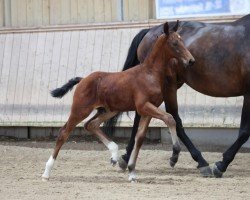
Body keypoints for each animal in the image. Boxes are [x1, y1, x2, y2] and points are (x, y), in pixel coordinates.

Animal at [41, 21, 195, 181]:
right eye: (174, 43)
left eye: (182, 40)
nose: (191, 60)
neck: (150, 73)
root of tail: (83, 80)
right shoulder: (143, 106)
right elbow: (170, 118)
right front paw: (174, 155)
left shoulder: (148, 110)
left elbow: (139, 138)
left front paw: (132, 171)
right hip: (80, 109)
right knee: (64, 132)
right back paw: (46, 172)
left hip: (109, 110)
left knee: (91, 124)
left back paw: (115, 155)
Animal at [111, 14, 250, 178]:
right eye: (175, 43)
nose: (191, 60)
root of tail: (149, 32)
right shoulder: (249, 93)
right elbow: (245, 132)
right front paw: (221, 165)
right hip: (168, 86)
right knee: (173, 117)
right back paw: (200, 162)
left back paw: (127, 158)